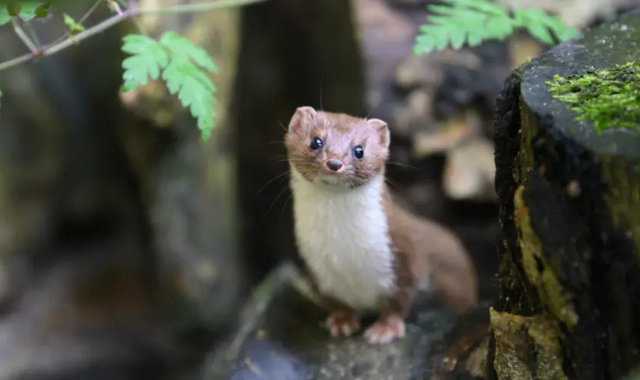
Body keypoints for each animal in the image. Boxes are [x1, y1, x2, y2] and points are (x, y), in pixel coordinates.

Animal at [284, 107, 476, 344]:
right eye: (316, 141)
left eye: (359, 150)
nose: (334, 163)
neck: (345, 251)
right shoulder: (315, 267)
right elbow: (335, 302)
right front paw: (341, 322)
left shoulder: (402, 253)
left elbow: (398, 299)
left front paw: (386, 329)